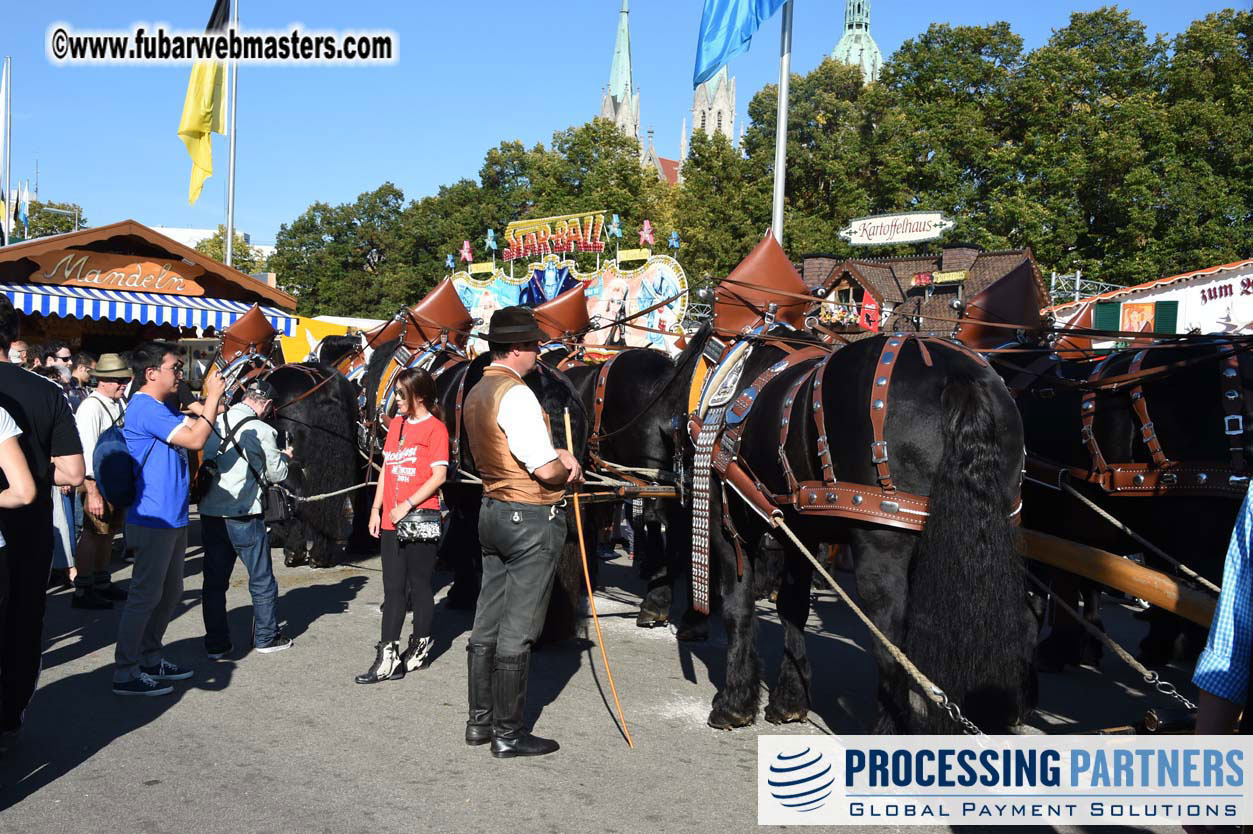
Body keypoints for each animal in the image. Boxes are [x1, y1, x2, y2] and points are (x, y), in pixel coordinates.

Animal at [706, 330, 1037, 726]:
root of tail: (960, 378)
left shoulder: (729, 523)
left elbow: (737, 607)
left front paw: (734, 702)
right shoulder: (800, 533)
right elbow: (792, 607)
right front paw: (790, 698)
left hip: (882, 548)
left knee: (890, 642)